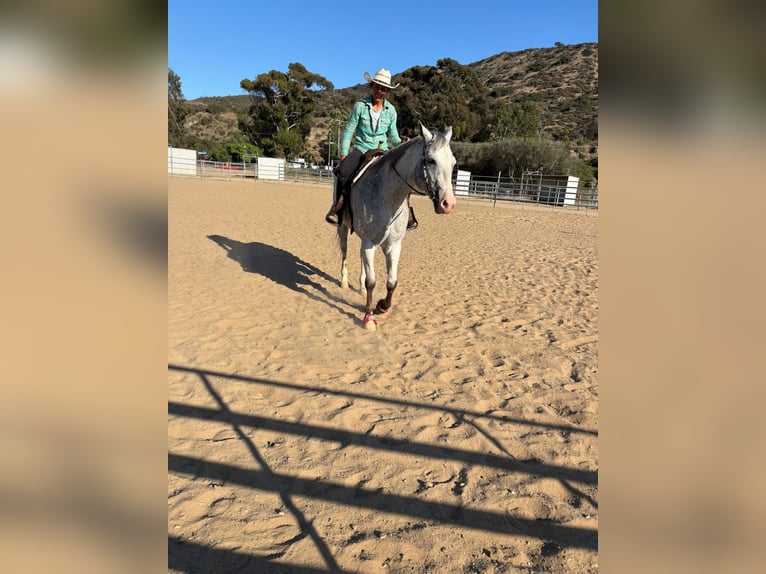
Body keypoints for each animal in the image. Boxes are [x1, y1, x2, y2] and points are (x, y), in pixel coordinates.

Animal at [336, 123, 457, 330]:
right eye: (431, 160)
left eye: (453, 163)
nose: (448, 203)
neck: (387, 196)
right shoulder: (369, 242)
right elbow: (372, 282)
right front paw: (368, 318)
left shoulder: (393, 245)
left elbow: (392, 282)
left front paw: (382, 306)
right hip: (343, 228)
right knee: (344, 252)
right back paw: (344, 282)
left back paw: (360, 289)